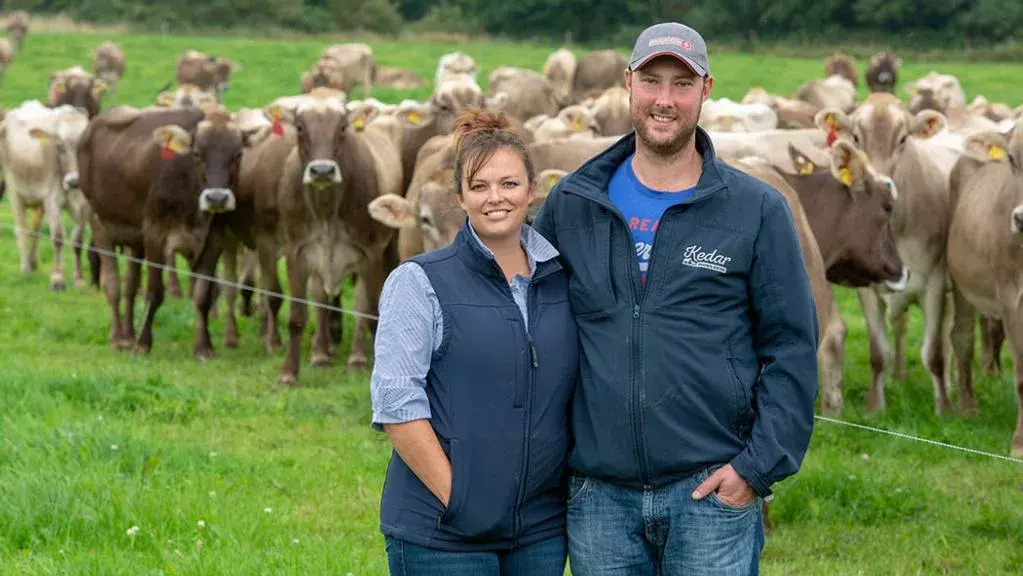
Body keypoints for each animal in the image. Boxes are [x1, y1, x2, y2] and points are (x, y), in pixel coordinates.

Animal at [0, 102, 91, 291]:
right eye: (60, 145)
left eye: (86, 144)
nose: (74, 181)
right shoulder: (52, 199)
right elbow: (57, 236)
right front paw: (57, 279)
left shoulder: (83, 204)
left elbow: (78, 240)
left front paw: (78, 279)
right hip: (14, 191)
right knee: (21, 228)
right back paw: (26, 268)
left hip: (39, 203)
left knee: (35, 229)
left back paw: (33, 263)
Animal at [76, 104, 267, 356]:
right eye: (197, 154)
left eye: (237, 155)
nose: (216, 198)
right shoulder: (155, 235)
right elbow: (155, 291)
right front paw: (144, 343)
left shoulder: (212, 240)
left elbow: (202, 295)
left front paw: (203, 346)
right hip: (101, 227)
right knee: (113, 285)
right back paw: (118, 338)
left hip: (136, 241)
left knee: (130, 286)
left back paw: (128, 333)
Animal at [817, 93, 953, 414]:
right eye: (856, 137)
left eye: (903, 139)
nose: (878, 182)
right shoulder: (867, 287)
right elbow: (878, 351)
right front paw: (874, 407)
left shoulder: (935, 283)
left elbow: (934, 353)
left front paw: (944, 409)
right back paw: (898, 376)